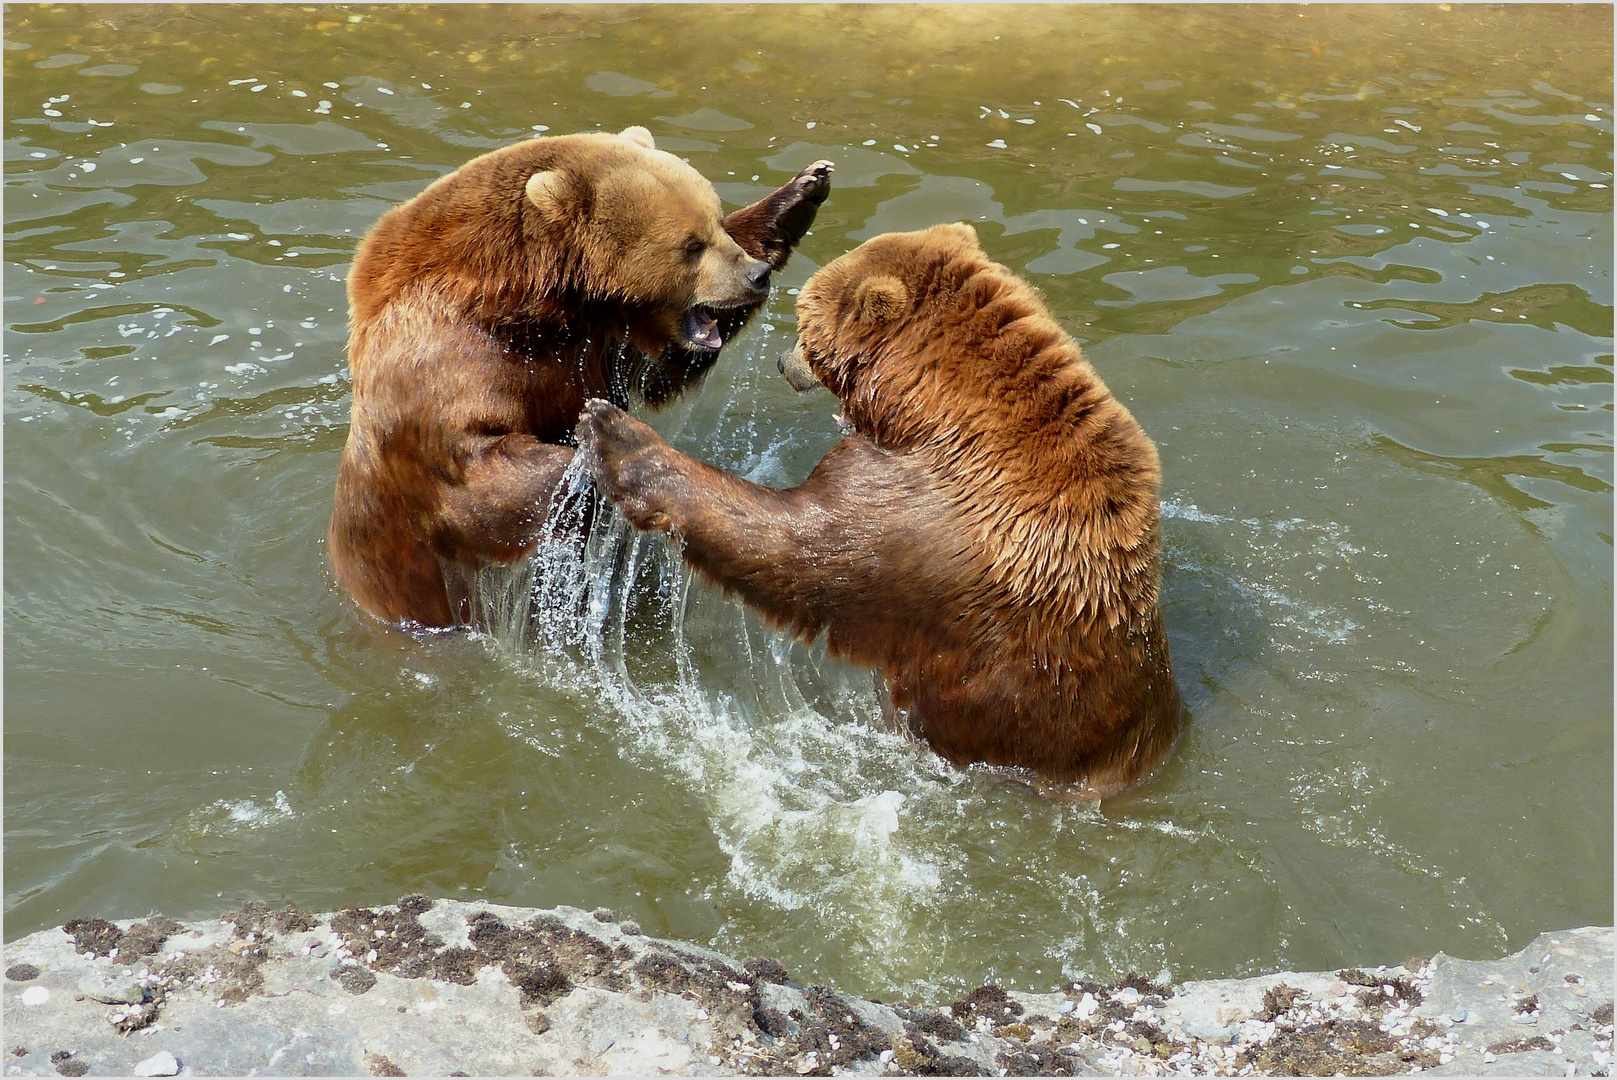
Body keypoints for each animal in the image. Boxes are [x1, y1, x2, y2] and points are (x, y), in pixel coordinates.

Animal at [328, 124, 834, 624]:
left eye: (716, 223)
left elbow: (665, 369)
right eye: (692, 245)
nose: (756, 276)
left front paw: (805, 187)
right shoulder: (447, 359)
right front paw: (595, 457)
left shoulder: (594, 344)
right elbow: (477, 468)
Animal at [575, 221, 1183, 792]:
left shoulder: (924, 516)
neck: (934, 413)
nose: (781, 361)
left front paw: (613, 432)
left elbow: (797, 548)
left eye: (805, 324)